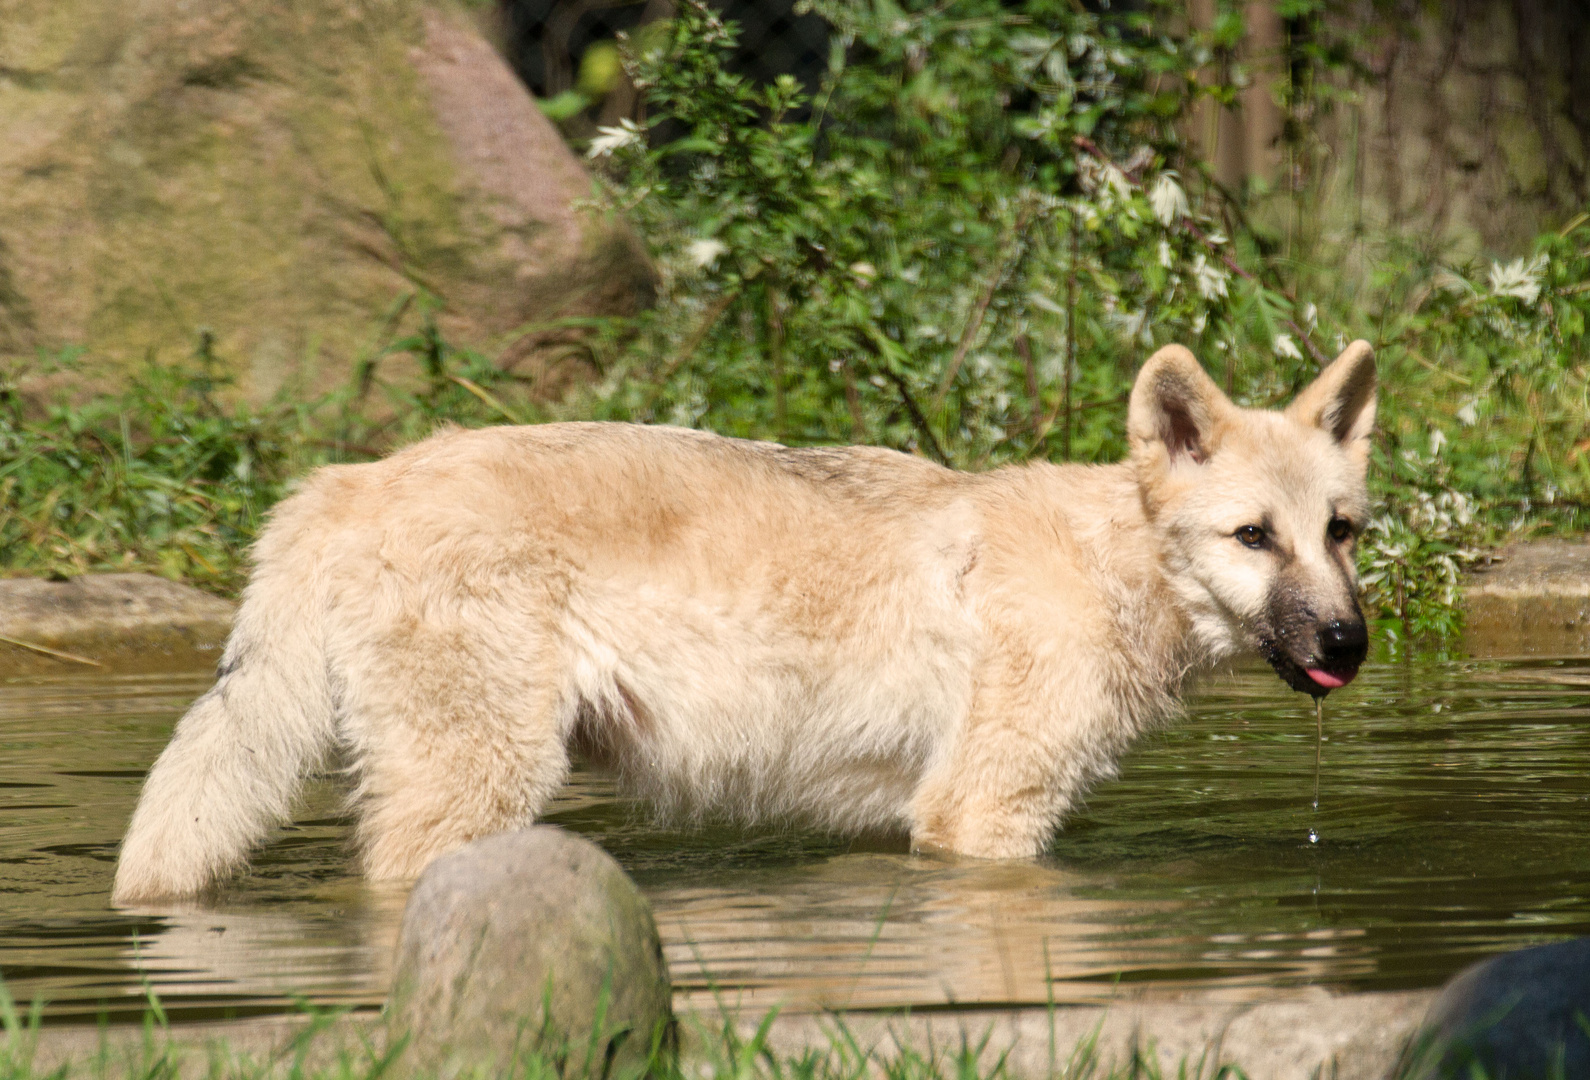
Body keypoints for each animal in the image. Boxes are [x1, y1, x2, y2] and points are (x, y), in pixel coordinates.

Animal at [115, 341, 1380, 897]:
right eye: (1253, 537)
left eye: (1341, 533)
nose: (1349, 646)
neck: (1107, 565)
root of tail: (350, 481)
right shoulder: (982, 825)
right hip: (480, 788)